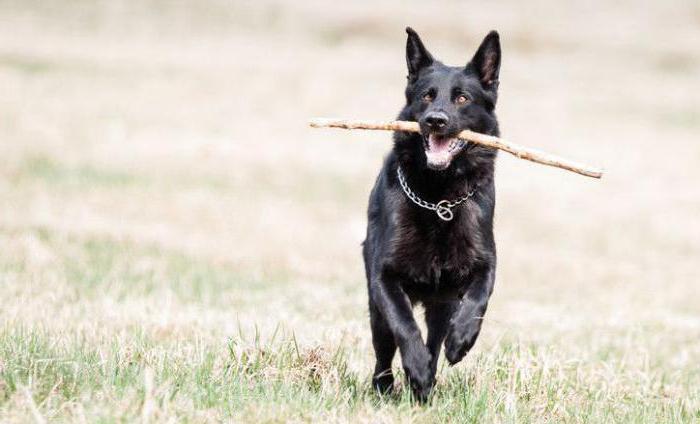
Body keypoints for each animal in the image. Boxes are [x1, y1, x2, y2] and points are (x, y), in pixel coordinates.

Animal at [364, 27, 500, 400]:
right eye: (427, 96)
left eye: (462, 99)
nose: (435, 120)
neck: (439, 198)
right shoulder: (384, 277)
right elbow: (404, 325)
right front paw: (417, 370)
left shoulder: (484, 263)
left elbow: (479, 300)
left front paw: (462, 340)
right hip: (376, 306)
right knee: (384, 346)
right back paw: (388, 385)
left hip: (441, 304)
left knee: (436, 339)